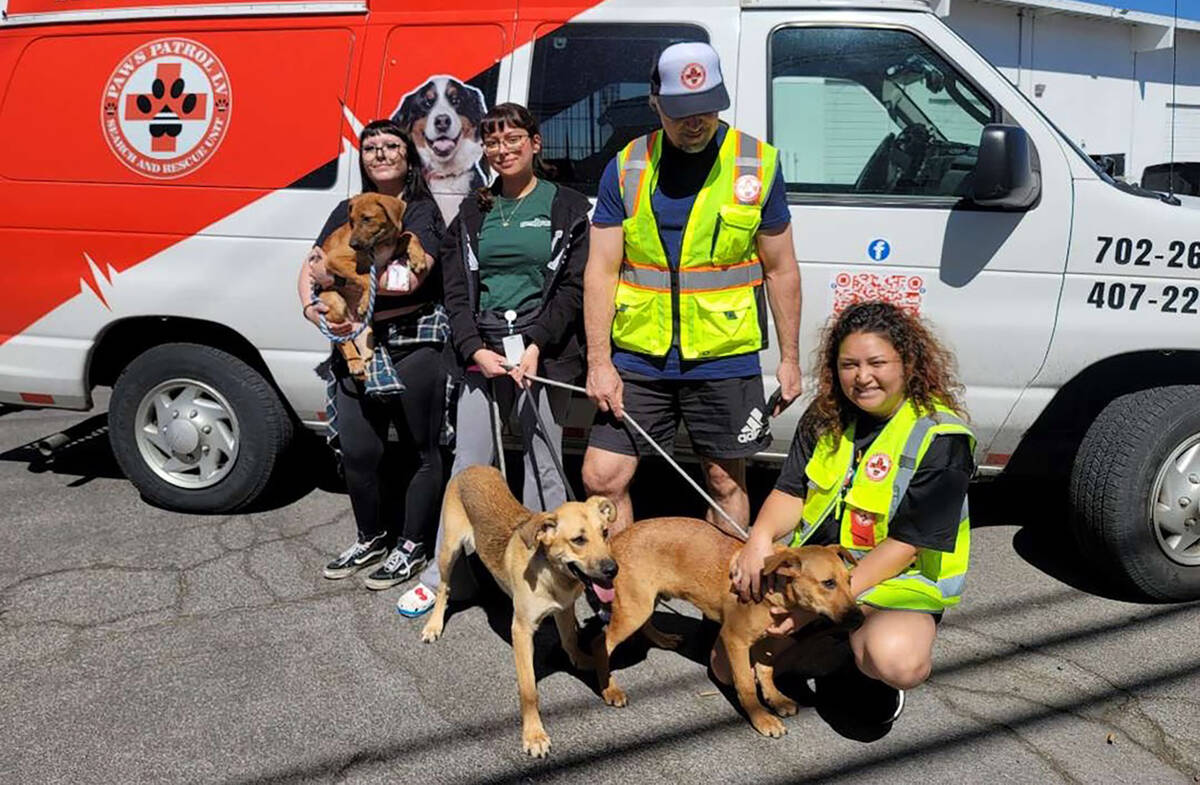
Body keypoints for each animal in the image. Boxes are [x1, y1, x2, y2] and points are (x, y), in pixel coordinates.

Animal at [319, 195, 432, 384]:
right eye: (351, 221)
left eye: (367, 218)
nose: (353, 244)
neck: (380, 243)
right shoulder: (334, 259)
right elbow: (365, 278)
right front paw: (365, 301)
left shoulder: (391, 250)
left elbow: (409, 234)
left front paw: (418, 257)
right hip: (335, 304)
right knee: (342, 341)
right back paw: (355, 364)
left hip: (366, 334)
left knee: (364, 353)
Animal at [420, 463, 619, 758]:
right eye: (579, 540)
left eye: (605, 532)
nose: (612, 570)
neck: (552, 575)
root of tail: (473, 467)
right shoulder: (522, 631)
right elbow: (528, 690)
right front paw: (534, 735)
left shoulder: (564, 608)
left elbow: (570, 639)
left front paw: (585, 661)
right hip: (448, 549)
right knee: (444, 588)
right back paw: (433, 625)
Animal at [592, 520, 864, 739]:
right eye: (828, 583)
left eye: (849, 581)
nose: (860, 618)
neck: (772, 586)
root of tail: (616, 539)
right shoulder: (735, 639)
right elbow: (745, 683)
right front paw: (761, 718)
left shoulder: (768, 639)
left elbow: (765, 670)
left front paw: (775, 698)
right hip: (634, 609)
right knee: (601, 643)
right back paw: (609, 689)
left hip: (647, 600)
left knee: (645, 624)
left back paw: (664, 639)